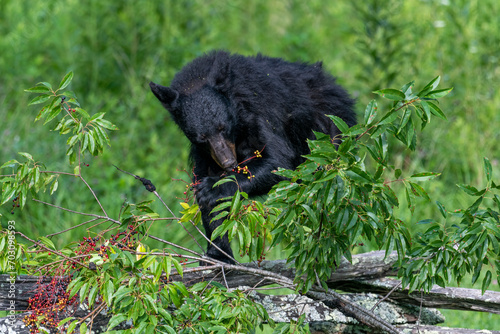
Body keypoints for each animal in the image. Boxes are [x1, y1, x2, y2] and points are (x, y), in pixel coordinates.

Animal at [150, 50, 358, 264]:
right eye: (202, 137)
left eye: (222, 127)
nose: (228, 162)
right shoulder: (205, 153)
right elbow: (207, 191)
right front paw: (219, 254)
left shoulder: (259, 112)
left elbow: (278, 162)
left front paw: (211, 188)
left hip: (329, 130)